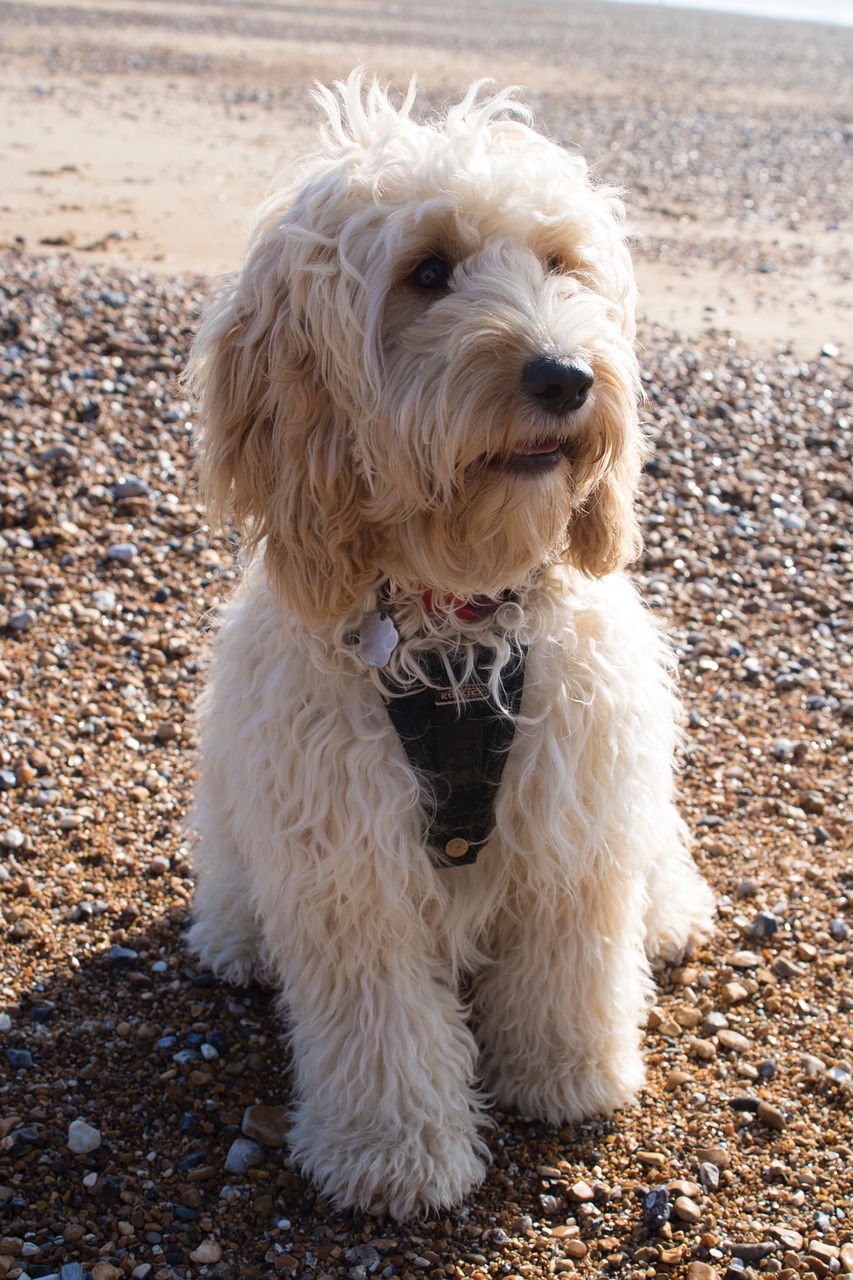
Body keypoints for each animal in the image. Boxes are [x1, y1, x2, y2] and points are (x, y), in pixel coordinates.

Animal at [184, 72, 712, 1218]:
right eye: (426, 271)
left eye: (560, 262)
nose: (565, 376)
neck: (460, 614)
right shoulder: (345, 855)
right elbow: (379, 1022)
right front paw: (394, 1154)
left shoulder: (575, 814)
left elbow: (569, 965)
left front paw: (568, 1074)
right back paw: (238, 939)